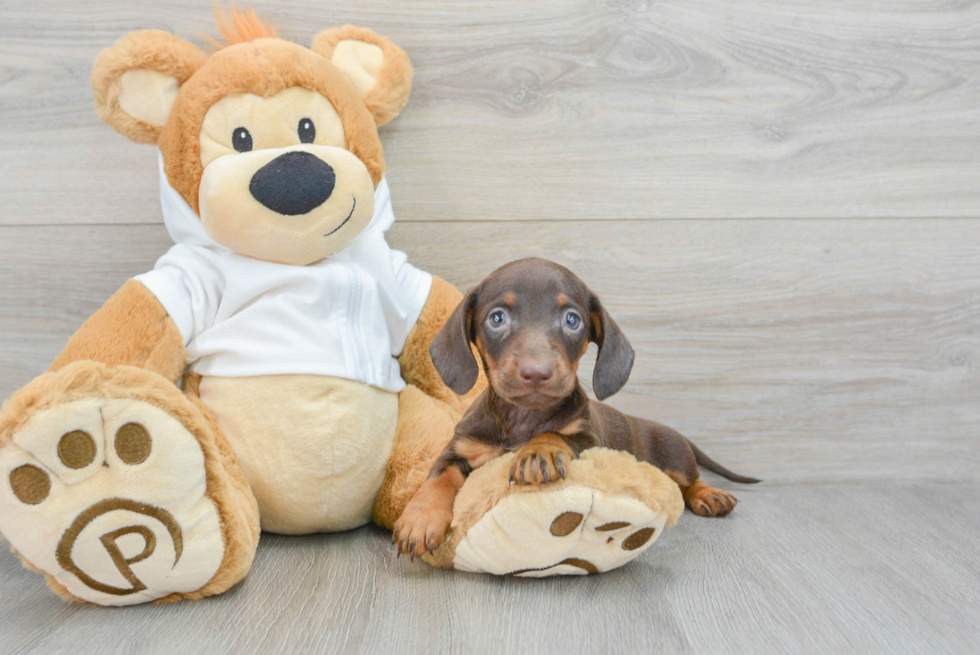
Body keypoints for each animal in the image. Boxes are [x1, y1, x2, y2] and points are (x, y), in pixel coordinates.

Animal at [390, 258, 756, 560]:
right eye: (497, 318)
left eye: (572, 320)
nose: (536, 372)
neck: (523, 418)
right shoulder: (459, 448)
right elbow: (437, 479)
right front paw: (420, 518)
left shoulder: (590, 439)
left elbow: (556, 434)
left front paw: (538, 451)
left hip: (675, 456)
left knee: (688, 482)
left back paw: (710, 494)